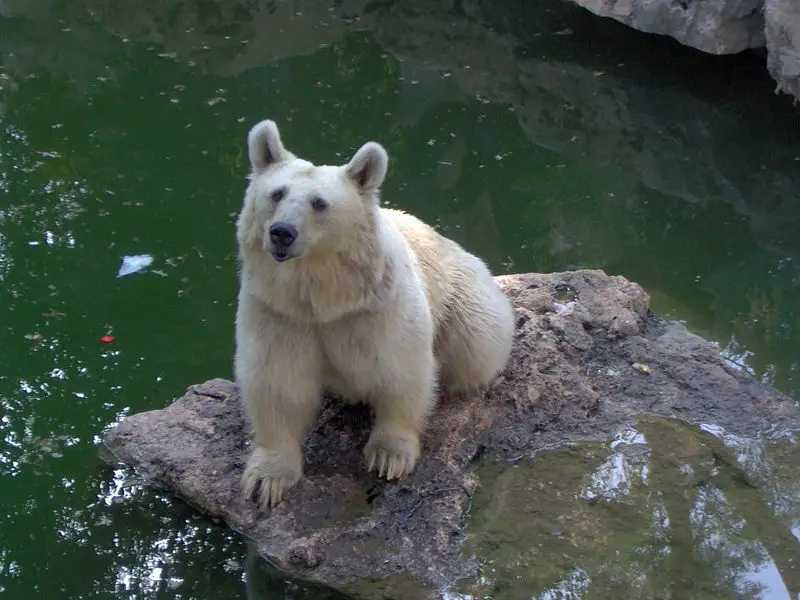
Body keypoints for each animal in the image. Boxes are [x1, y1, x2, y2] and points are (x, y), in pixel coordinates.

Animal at [235, 119, 515, 509]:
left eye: (319, 203)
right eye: (276, 193)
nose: (281, 232)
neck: (325, 297)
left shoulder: (378, 306)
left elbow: (399, 370)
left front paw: (388, 456)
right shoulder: (277, 311)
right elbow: (277, 381)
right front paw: (266, 480)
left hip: (465, 296)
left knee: (475, 345)